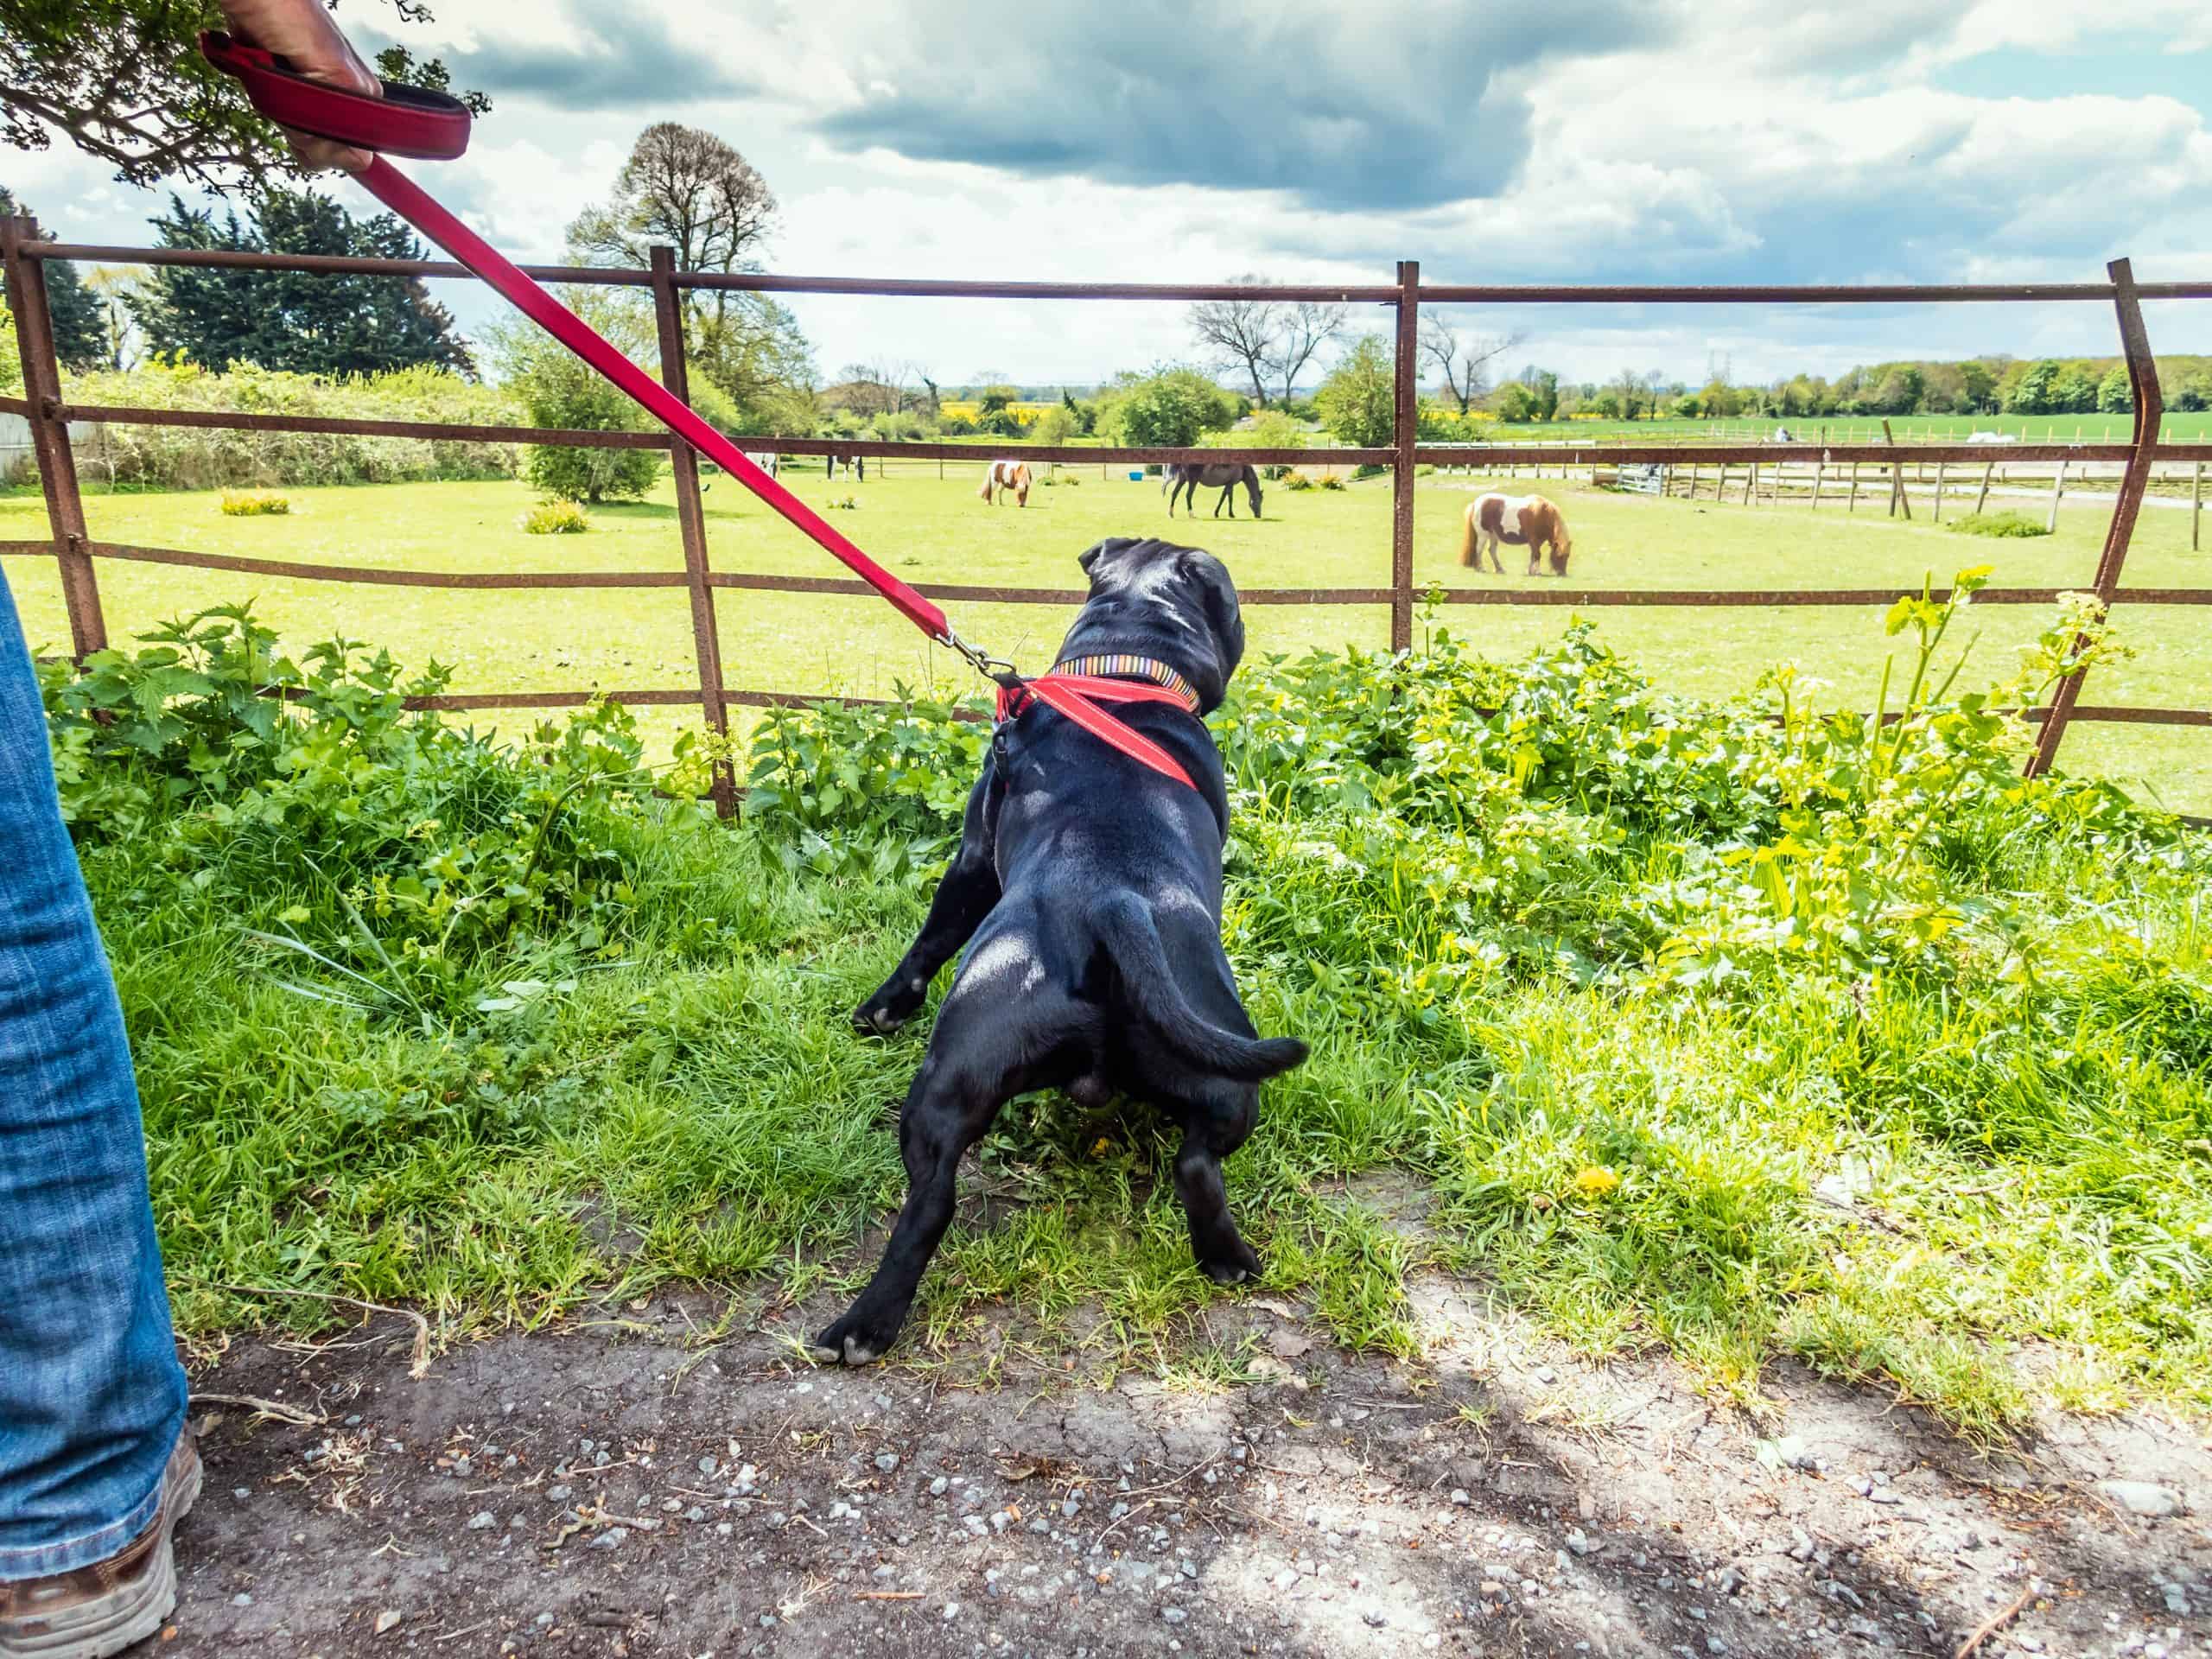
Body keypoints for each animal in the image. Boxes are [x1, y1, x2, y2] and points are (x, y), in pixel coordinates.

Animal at [827, 539, 1309, 1371]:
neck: (1125, 672)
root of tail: (1109, 901)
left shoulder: (972, 856)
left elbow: (930, 936)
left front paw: (884, 1008)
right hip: (1228, 1071)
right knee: (1197, 1163)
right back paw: (1226, 1258)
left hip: (951, 1075)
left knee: (930, 1202)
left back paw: (865, 1325)